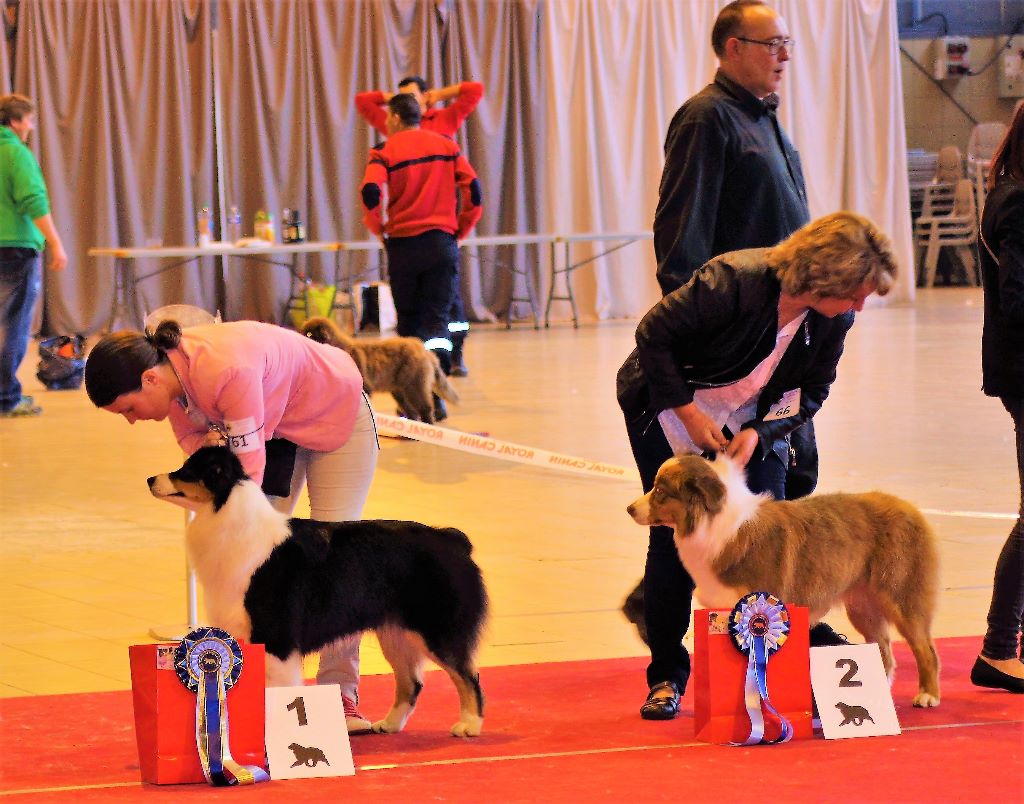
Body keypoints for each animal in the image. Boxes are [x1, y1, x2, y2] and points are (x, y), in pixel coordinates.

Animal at [301, 317, 458, 424]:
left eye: (309, 334)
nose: (299, 335)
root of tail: (424, 350)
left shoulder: (365, 387)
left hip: (414, 386)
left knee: (425, 408)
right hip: (400, 390)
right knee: (412, 411)